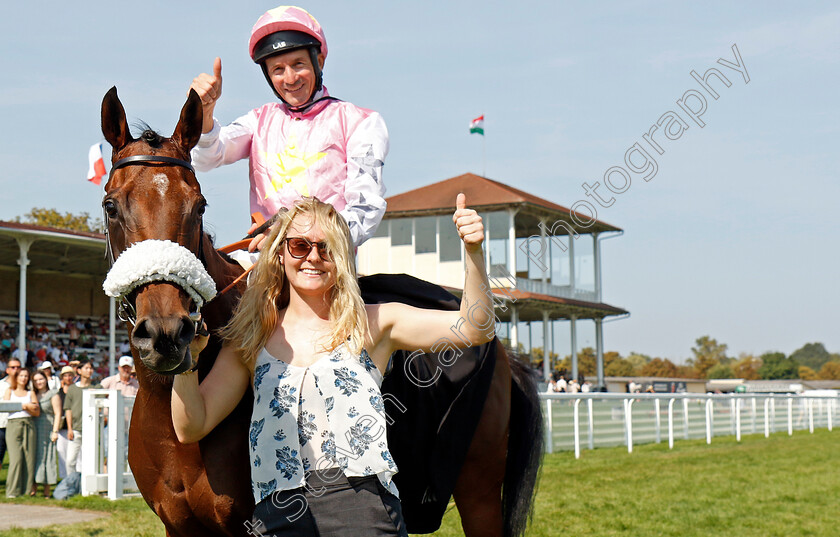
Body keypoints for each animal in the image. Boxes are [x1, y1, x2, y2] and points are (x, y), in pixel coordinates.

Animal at [101, 86, 544, 532]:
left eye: (200, 206)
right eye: (111, 206)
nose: (165, 334)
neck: (174, 425)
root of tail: (506, 355)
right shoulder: (177, 525)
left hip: (479, 490)